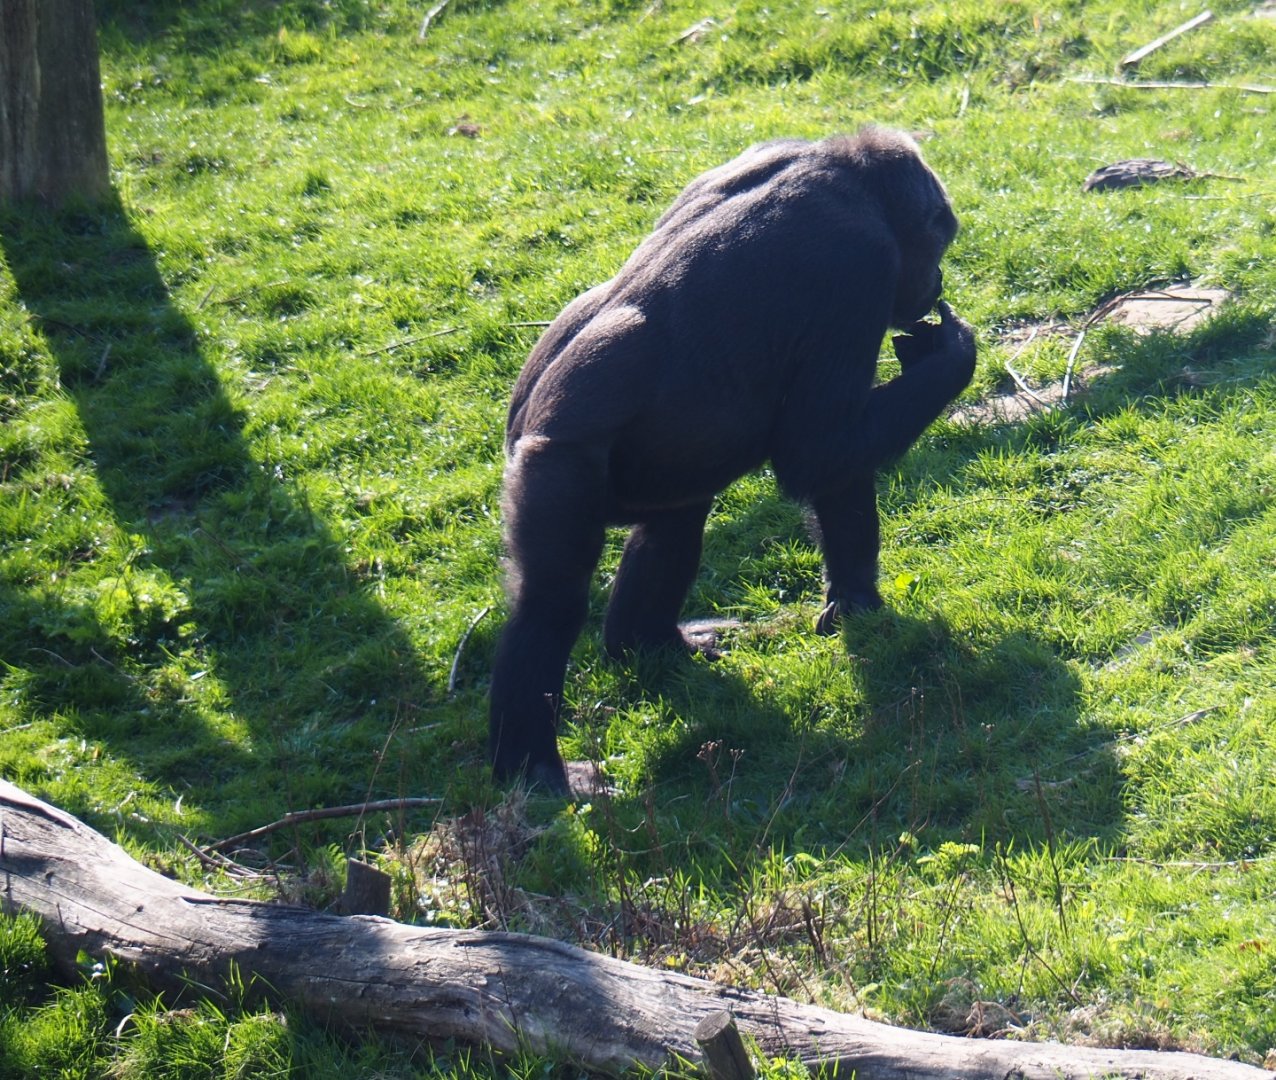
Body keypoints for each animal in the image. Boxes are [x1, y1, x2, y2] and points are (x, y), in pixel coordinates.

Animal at [489, 127, 976, 792]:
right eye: (934, 244)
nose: (937, 283)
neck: (850, 175)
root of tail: (519, 431)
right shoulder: (860, 266)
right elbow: (820, 446)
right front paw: (950, 357)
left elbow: (836, 466)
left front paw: (853, 600)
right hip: (554, 466)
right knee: (551, 603)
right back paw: (533, 768)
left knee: (674, 529)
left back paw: (648, 647)